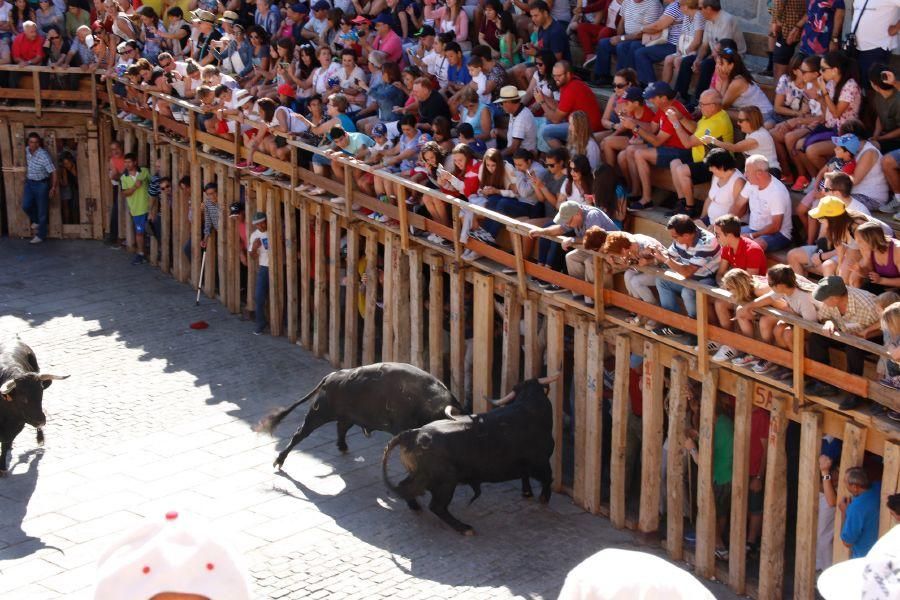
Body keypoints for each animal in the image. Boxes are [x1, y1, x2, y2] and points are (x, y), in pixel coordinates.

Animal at [0, 340, 67, 476]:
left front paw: (2, 468)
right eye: (23, 398)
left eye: (41, 394)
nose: (41, 420)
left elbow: (4, 445)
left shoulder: (16, 426)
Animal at [255, 360, 460, 468]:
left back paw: (343, 447)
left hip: (347, 417)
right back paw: (279, 460)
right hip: (318, 415)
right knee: (300, 434)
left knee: (340, 428)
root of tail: (330, 377)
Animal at [380, 376, 556, 536]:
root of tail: (413, 433)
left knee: (405, 486)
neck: (529, 407)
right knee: (436, 506)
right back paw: (464, 528)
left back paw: (415, 506)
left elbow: (526, 477)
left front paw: (527, 493)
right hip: (445, 482)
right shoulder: (542, 462)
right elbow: (548, 478)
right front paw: (544, 498)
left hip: (420, 476)